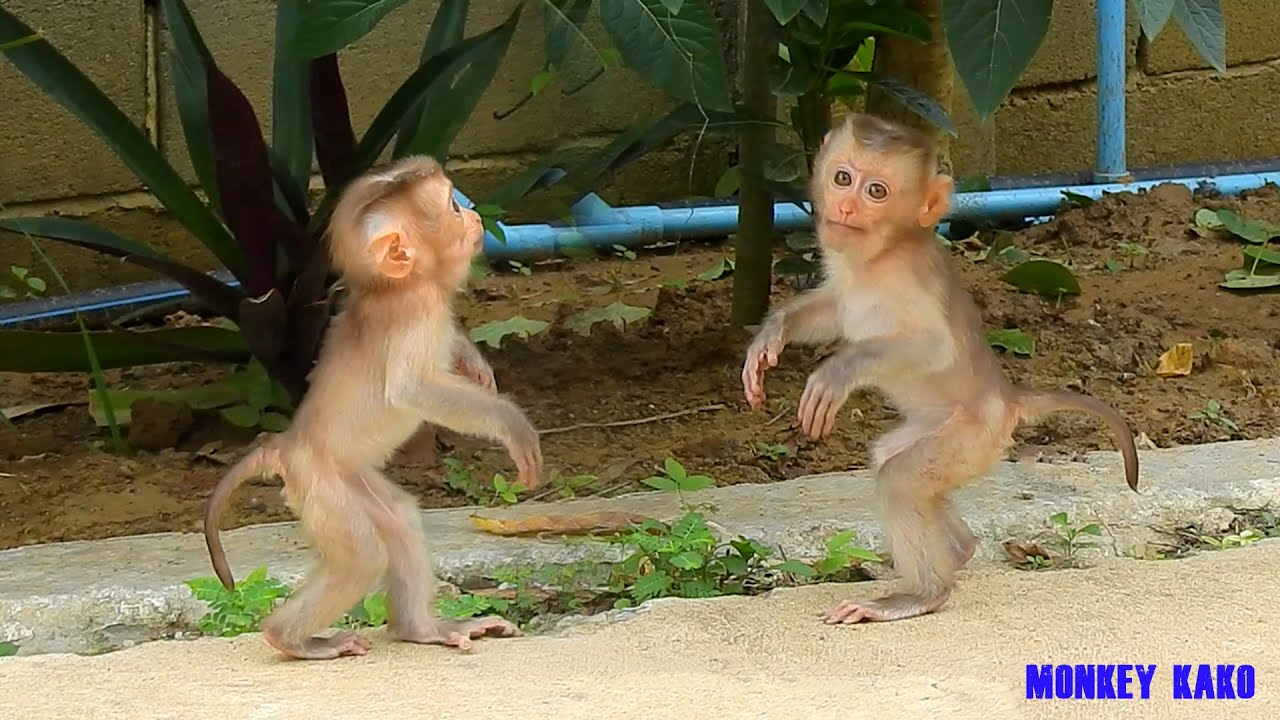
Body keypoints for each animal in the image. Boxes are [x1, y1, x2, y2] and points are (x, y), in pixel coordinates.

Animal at [203, 155, 544, 660]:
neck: (399, 288)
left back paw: (420, 629)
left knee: (398, 520)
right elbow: (410, 389)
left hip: (349, 481)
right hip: (322, 489)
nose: (475, 215)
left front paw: (472, 360)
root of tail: (287, 445)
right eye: (452, 207)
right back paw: (290, 639)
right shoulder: (415, 311)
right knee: (362, 559)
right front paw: (511, 424)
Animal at [741, 113, 1139, 625]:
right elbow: (832, 310)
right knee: (889, 458)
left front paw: (836, 373)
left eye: (876, 191)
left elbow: (933, 346)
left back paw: (926, 592)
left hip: (972, 437)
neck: (878, 257)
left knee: (900, 479)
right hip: (938, 428)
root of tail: (1008, 397)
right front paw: (772, 334)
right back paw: (959, 549)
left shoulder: (907, 279)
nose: (846, 206)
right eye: (843, 178)